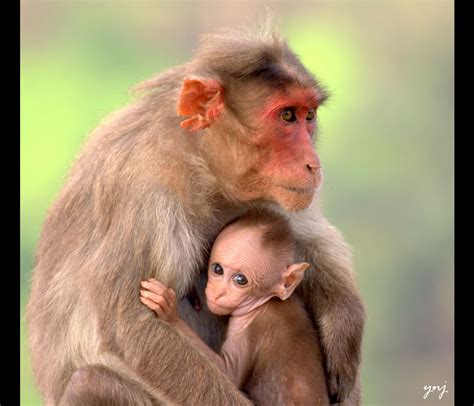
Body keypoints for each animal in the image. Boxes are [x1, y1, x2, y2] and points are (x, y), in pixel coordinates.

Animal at [139, 209, 328, 406]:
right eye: (217, 269)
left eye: (241, 280)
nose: (217, 293)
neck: (266, 301)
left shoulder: (248, 327)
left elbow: (229, 371)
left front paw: (170, 312)